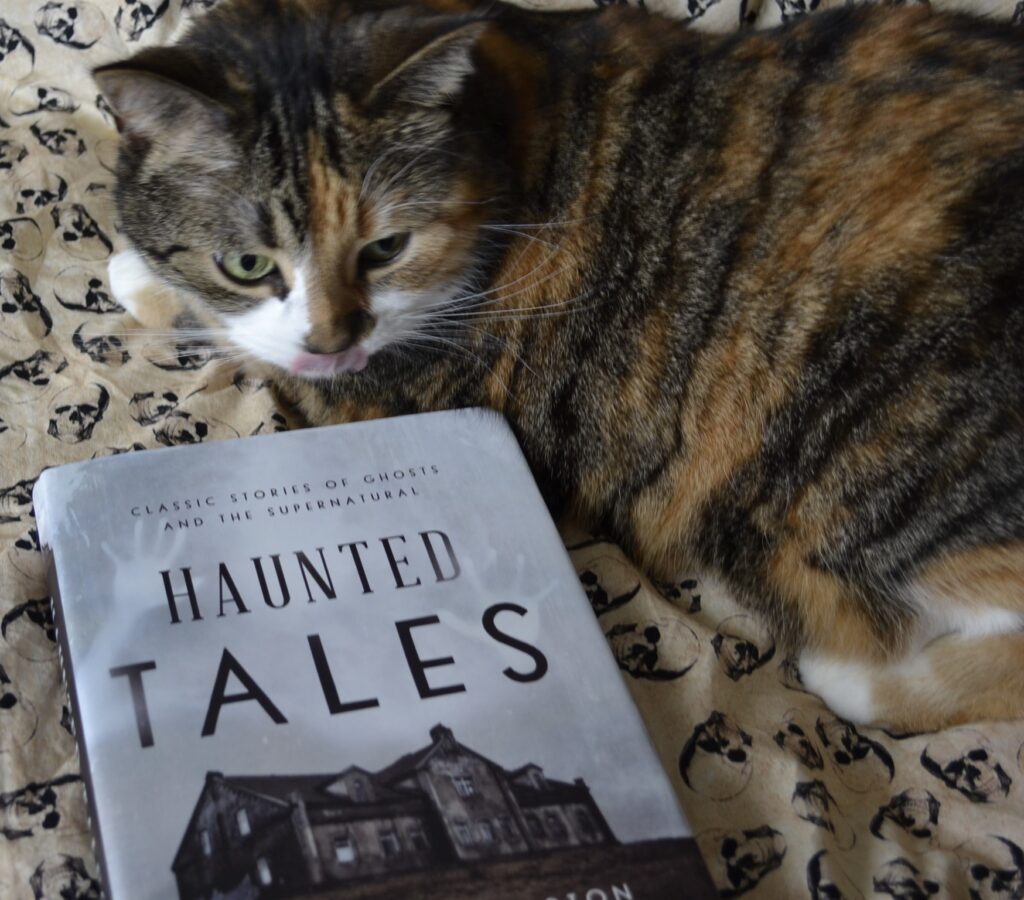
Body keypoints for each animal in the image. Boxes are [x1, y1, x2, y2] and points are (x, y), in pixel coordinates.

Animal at [96, 0, 1024, 733]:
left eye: (386, 248)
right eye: (249, 262)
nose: (333, 340)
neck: (495, 141)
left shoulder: (384, 395)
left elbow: (241, 344)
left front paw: (136, 276)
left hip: (867, 464)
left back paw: (857, 677)